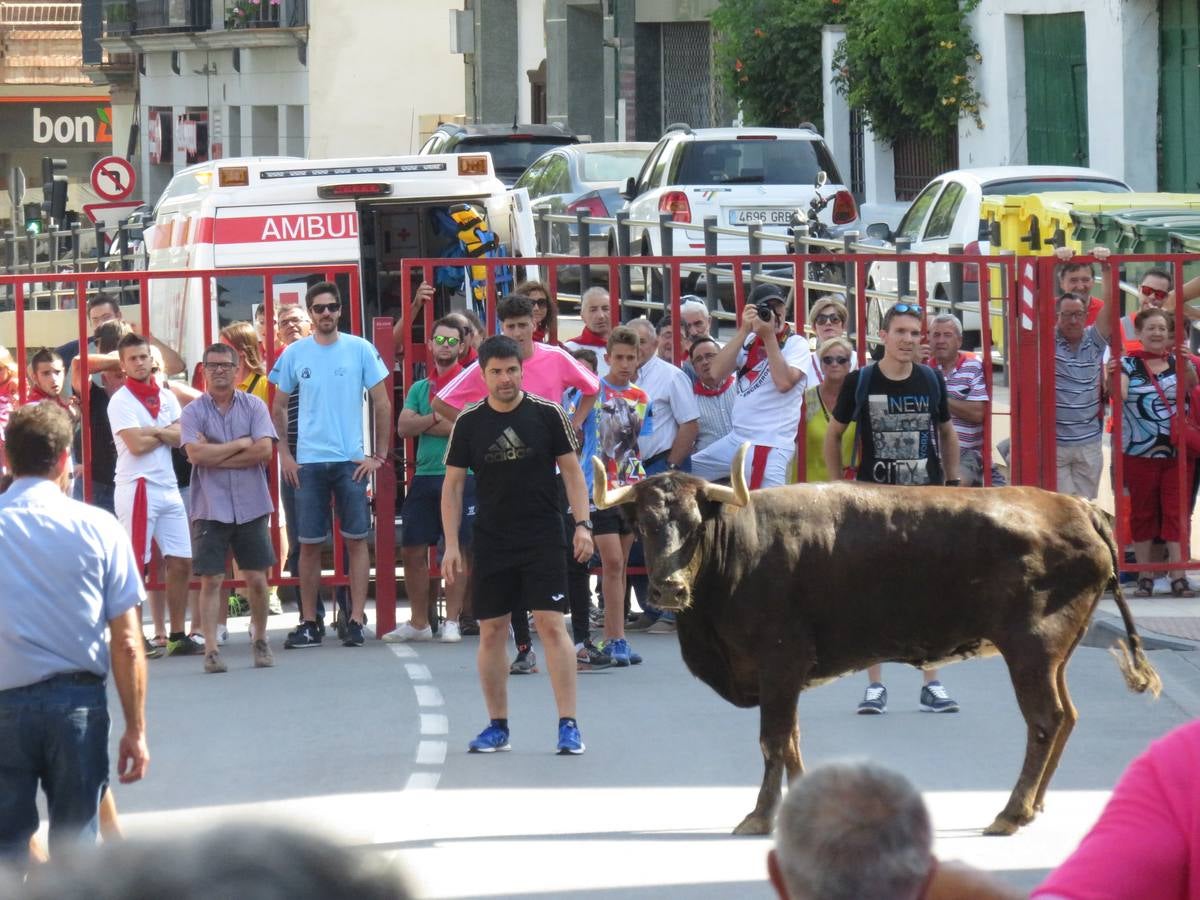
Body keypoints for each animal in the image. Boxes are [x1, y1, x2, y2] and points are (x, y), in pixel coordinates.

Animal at [597, 446, 1161, 840]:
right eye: (644, 524)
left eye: (694, 525)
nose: (668, 588)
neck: (740, 549)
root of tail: (1078, 507)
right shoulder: (786, 676)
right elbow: (791, 741)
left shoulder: (779, 664)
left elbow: (774, 741)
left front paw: (759, 817)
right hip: (1054, 656)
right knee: (1066, 717)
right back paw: (1034, 806)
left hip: (1031, 650)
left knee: (1045, 720)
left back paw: (1011, 812)